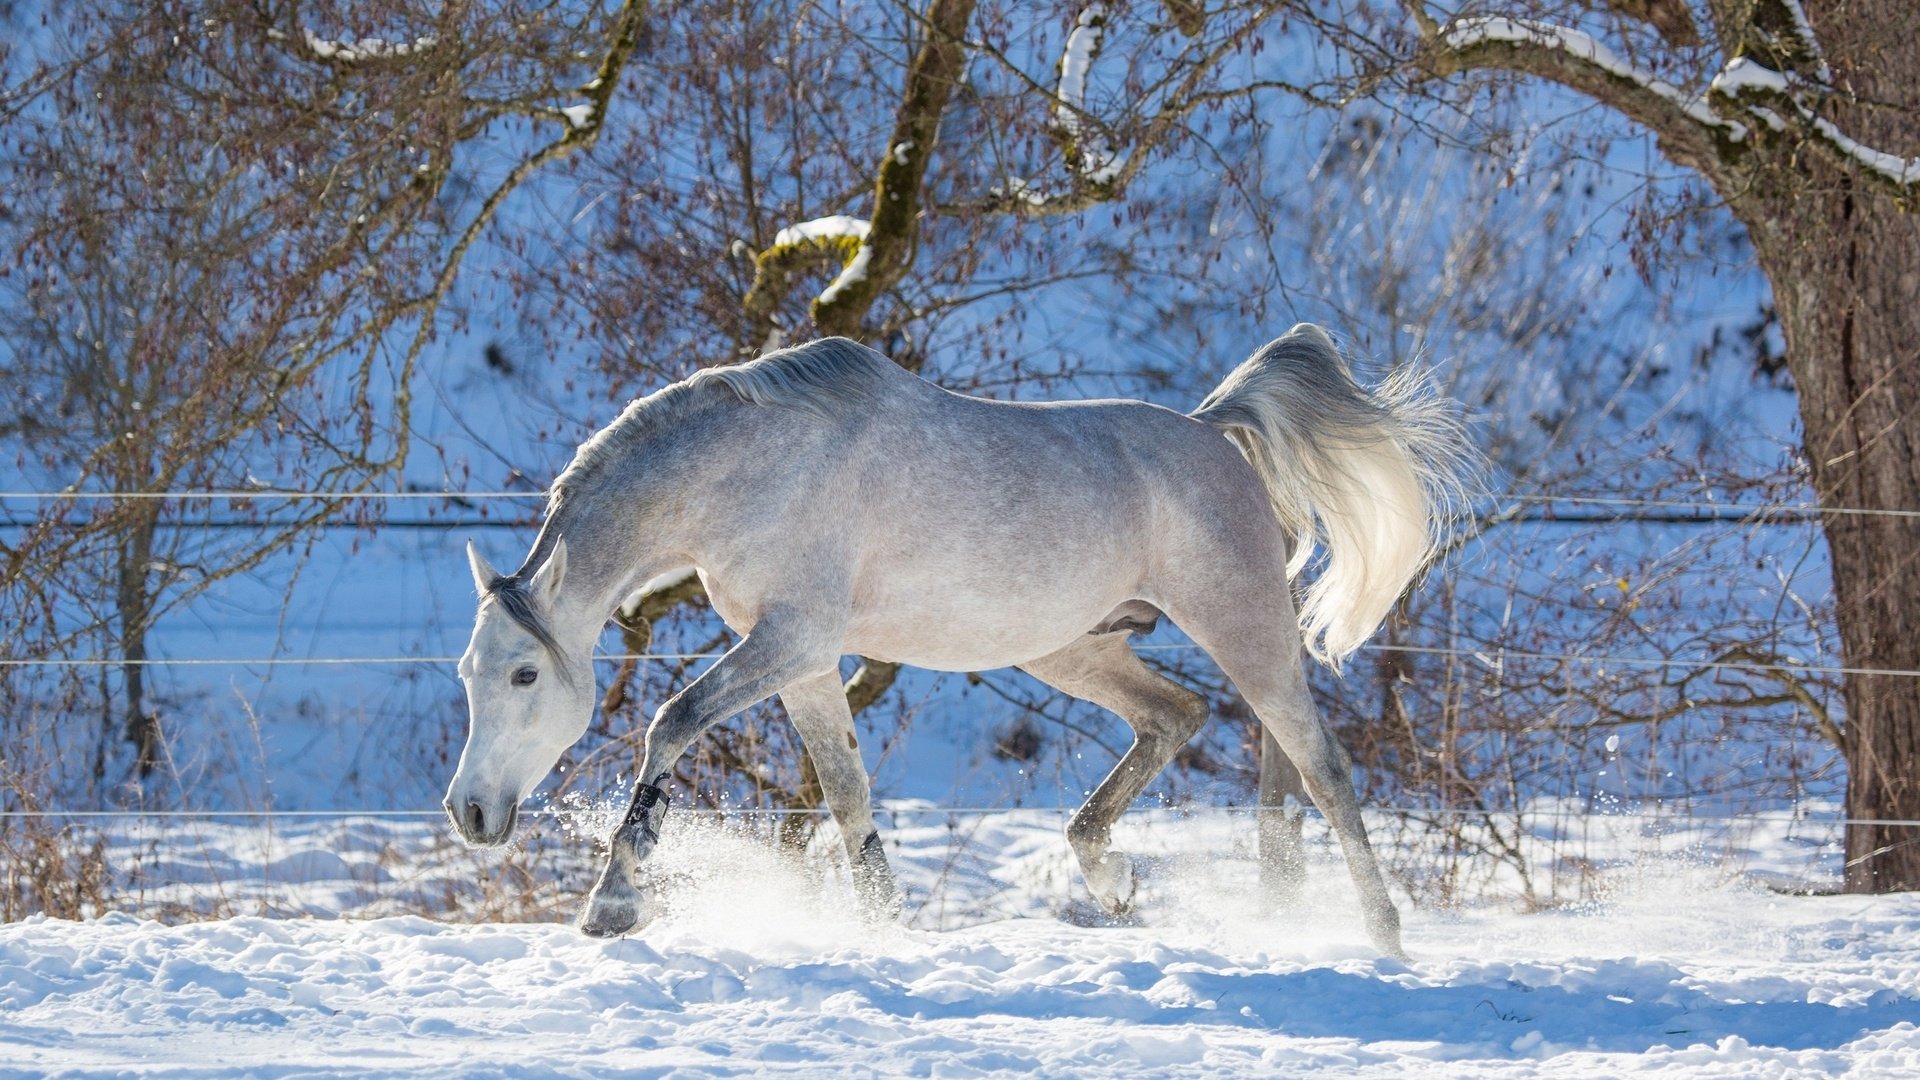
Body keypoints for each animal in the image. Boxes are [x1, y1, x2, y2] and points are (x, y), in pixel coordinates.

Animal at [449, 328, 1466, 949]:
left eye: (526, 675)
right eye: (468, 673)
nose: (470, 815)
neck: (751, 470)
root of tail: (1213, 433)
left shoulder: (791, 640)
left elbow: (673, 722)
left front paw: (611, 902)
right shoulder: (804, 661)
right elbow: (848, 792)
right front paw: (883, 929)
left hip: (1244, 627)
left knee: (1320, 765)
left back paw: (1380, 935)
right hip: (1068, 647)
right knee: (1178, 717)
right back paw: (1111, 879)